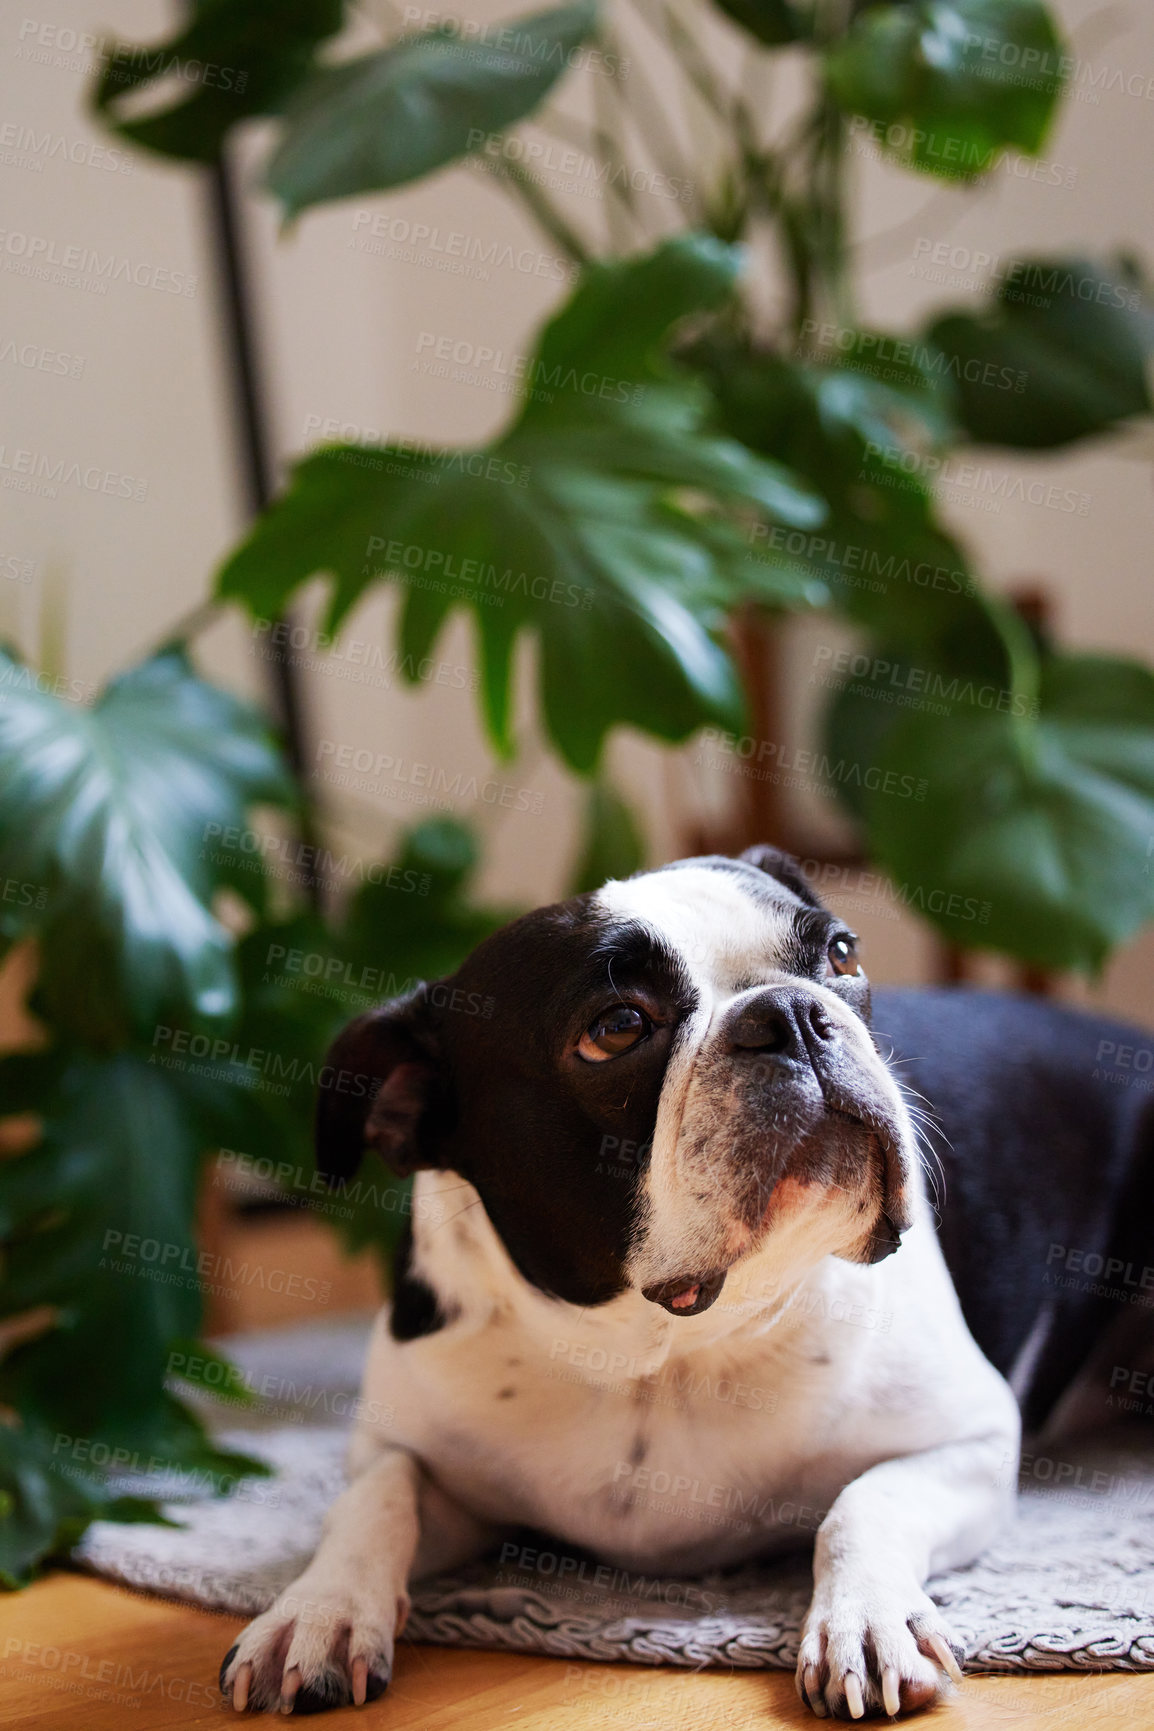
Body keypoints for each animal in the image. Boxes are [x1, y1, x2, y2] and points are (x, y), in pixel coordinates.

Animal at [218, 844, 1154, 1710]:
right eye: (616, 1027)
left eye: (842, 954)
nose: (791, 1011)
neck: (664, 1350)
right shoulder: (417, 1451)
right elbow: (376, 1496)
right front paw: (317, 1610)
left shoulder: (971, 1438)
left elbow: (864, 1502)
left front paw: (864, 1621)